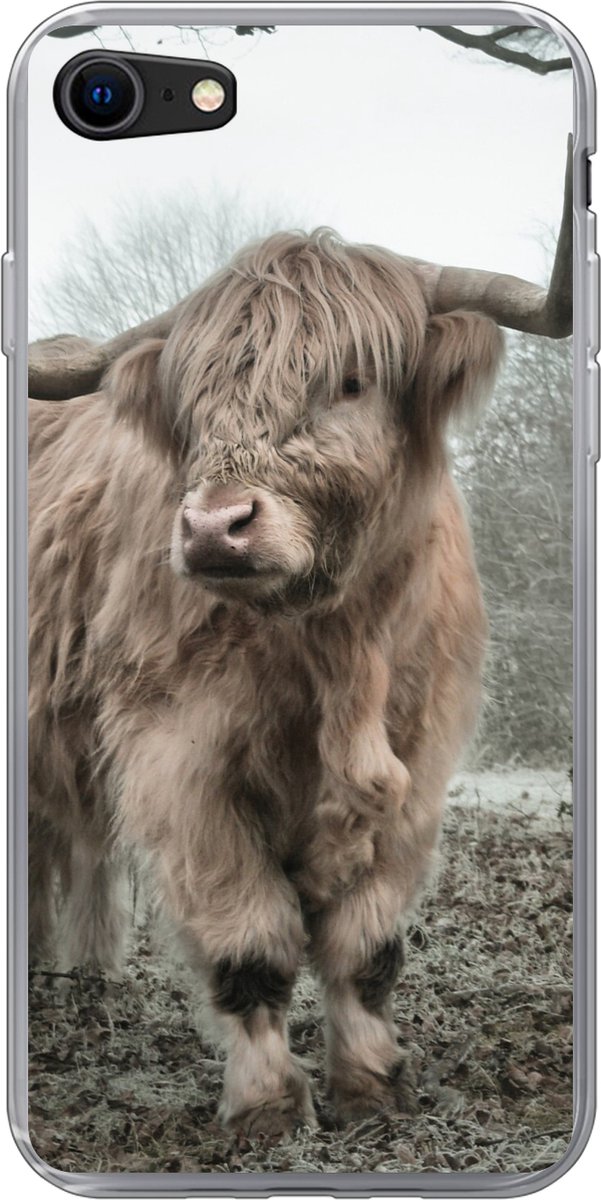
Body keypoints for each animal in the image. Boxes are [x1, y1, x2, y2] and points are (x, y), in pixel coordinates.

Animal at [27, 151, 572, 1136]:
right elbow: (251, 946)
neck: (337, 650)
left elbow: (366, 948)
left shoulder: (418, 768)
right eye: (194, 398)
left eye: (351, 380)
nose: (214, 527)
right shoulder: (179, 765)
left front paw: (372, 1086)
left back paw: (82, 974)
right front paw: (267, 1106)